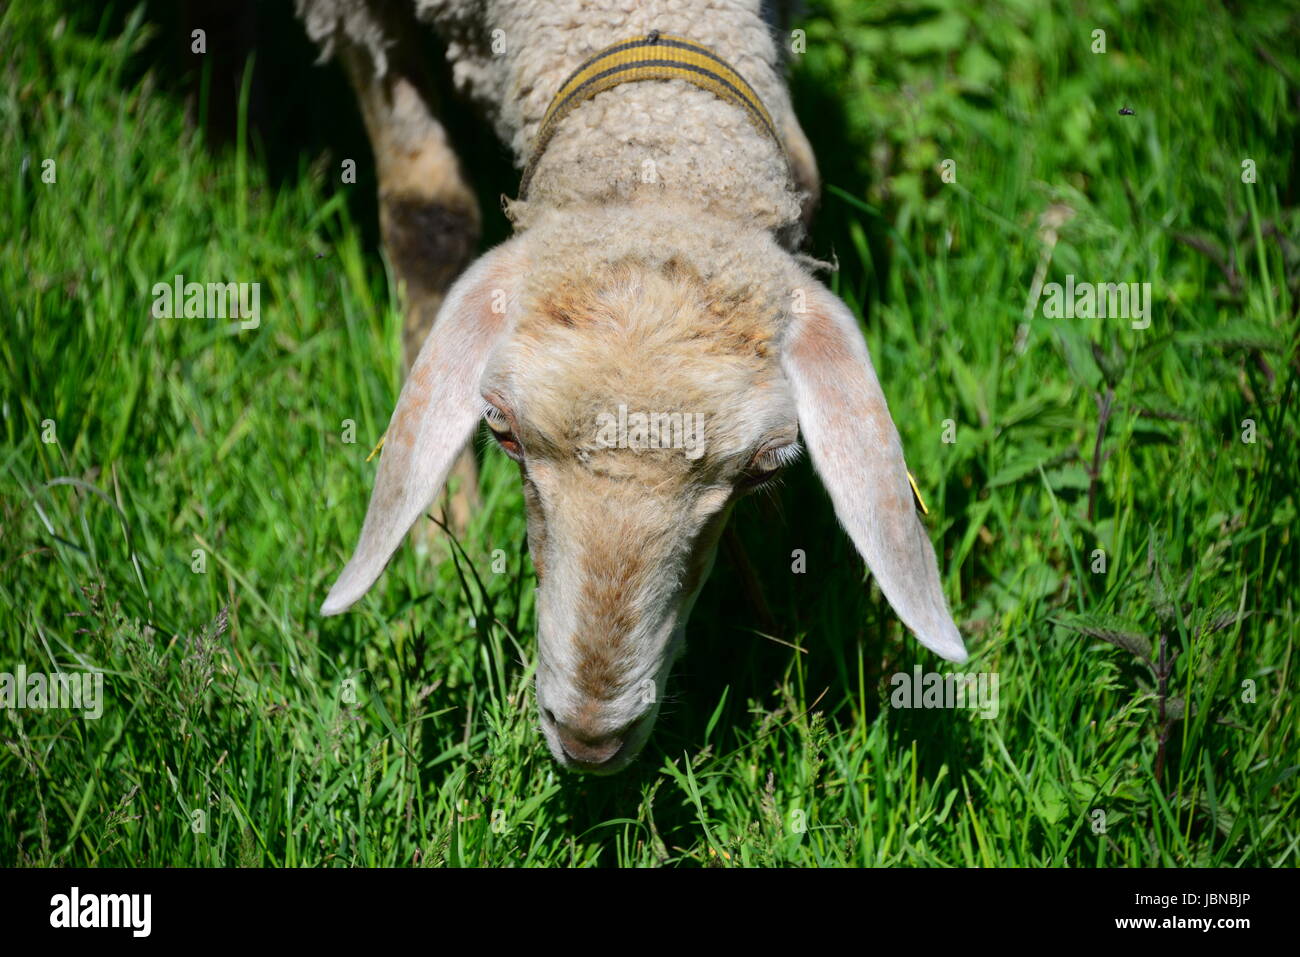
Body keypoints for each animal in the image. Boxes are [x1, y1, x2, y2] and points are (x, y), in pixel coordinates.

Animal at [300, 0, 968, 774]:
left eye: (764, 466)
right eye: (501, 428)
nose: (590, 739)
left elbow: (805, 168)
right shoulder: (361, 22)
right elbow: (427, 214)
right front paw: (443, 538)